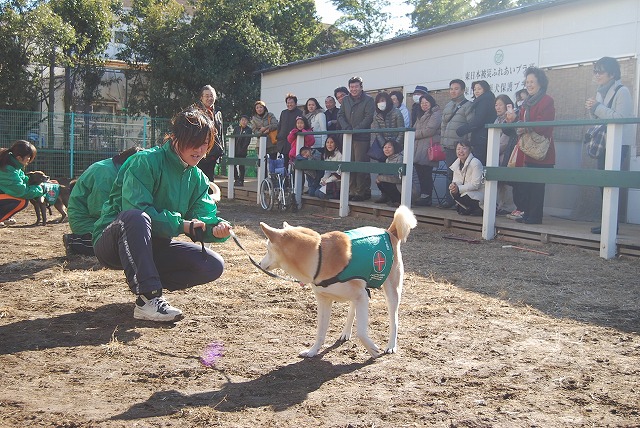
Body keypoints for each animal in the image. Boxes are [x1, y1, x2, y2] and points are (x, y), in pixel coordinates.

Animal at [258, 205, 418, 358]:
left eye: (267, 248)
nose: (259, 263)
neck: (319, 256)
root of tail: (389, 232)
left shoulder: (361, 296)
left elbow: (361, 332)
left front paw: (372, 349)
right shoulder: (326, 300)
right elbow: (320, 332)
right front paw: (312, 352)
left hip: (391, 291)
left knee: (393, 319)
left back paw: (391, 345)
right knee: (352, 308)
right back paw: (346, 332)